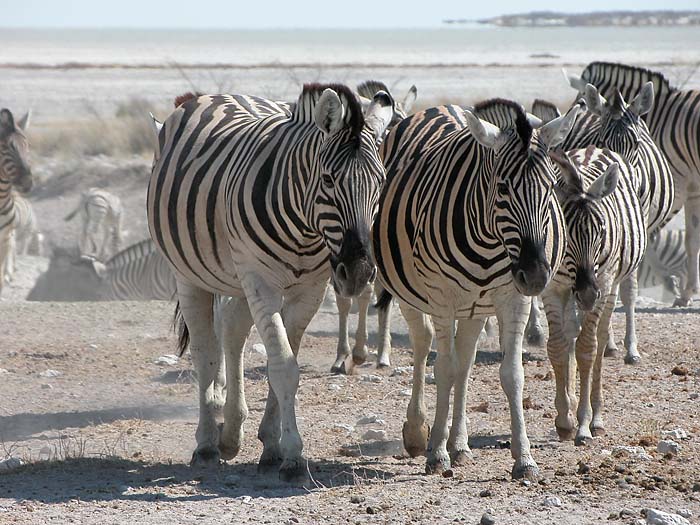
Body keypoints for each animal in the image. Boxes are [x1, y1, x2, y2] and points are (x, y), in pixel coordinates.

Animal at [330, 80, 418, 370]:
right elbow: (343, 300)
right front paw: (341, 356)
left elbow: (368, 293)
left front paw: (361, 350)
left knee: (382, 296)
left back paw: (383, 354)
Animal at [372, 96, 580, 476]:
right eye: (503, 188)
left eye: (549, 187)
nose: (535, 275)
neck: (490, 242)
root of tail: (438, 108)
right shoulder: (442, 298)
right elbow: (443, 369)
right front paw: (436, 453)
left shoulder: (513, 298)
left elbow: (511, 374)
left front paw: (523, 458)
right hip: (410, 291)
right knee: (425, 346)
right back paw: (419, 433)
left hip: (475, 306)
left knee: (465, 361)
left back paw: (460, 445)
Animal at [540, 146, 644, 446]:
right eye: (565, 233)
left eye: (602, 230)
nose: (587, 293)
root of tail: (592, 148)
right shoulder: (552, 288)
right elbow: (557, 346)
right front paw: (564, 419)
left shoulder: (604, 282)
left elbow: (587, 349)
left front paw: (584, 424)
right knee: (570, 334)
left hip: (610, 287)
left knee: (597, 339)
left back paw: (596, 418)